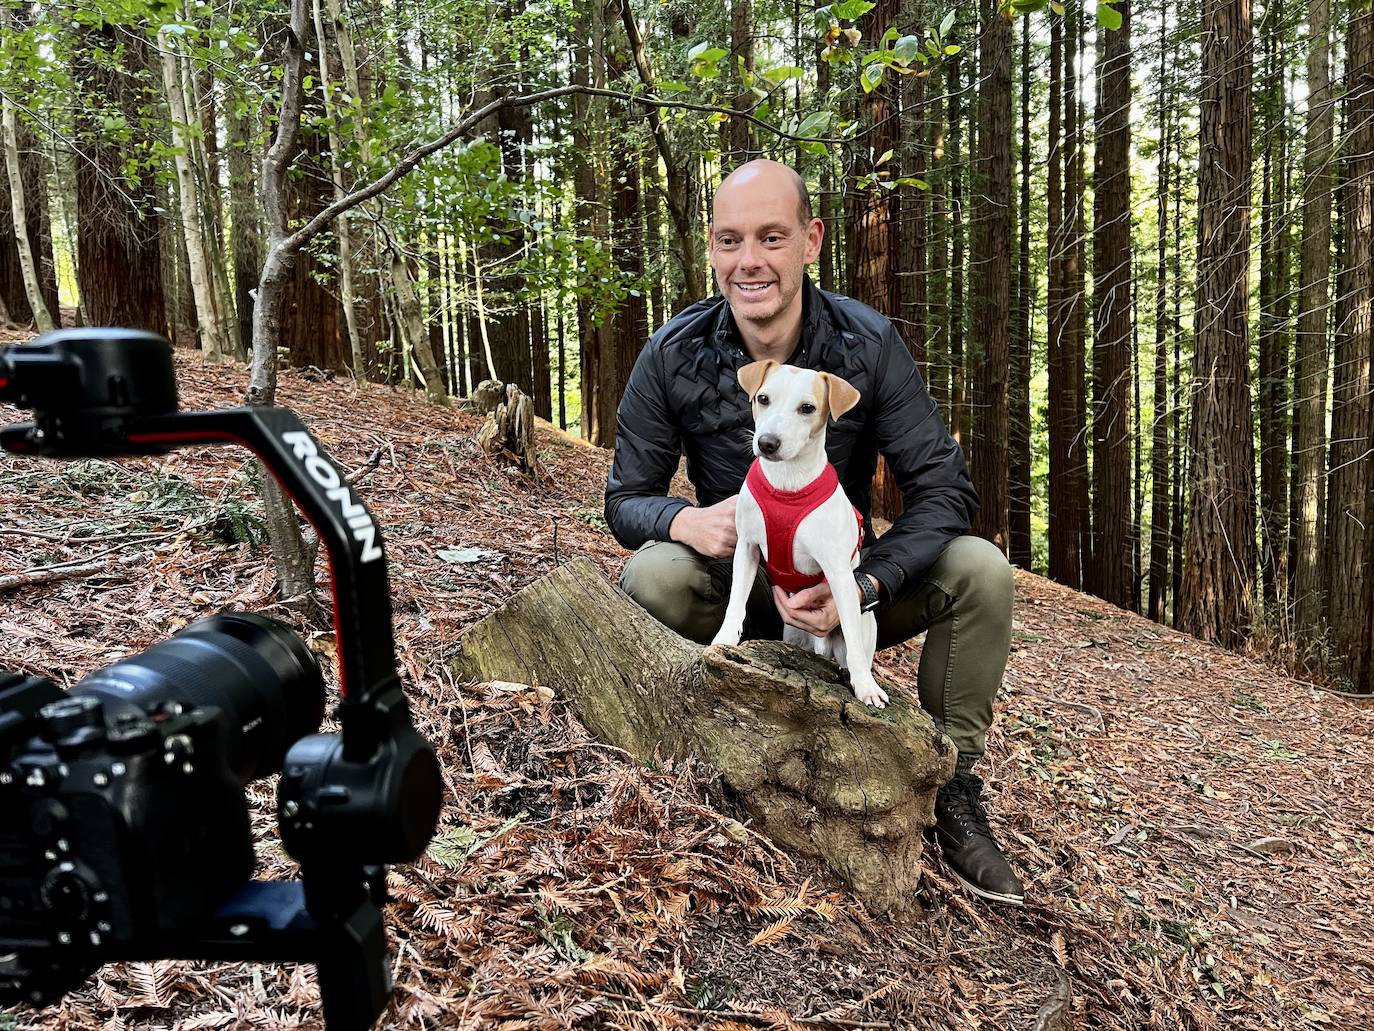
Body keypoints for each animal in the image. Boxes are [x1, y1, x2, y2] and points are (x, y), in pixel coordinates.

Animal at [714, 357, 884, 709]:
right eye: (763, 399)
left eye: (807, 408)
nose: (767, 443)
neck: (787, 484)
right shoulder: (747, 549)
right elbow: (736, 601)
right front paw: (723, 639)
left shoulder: (839, 574)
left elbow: (851, 636)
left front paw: (865, 686)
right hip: (793, 635)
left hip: (856, 633)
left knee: (854, 647)